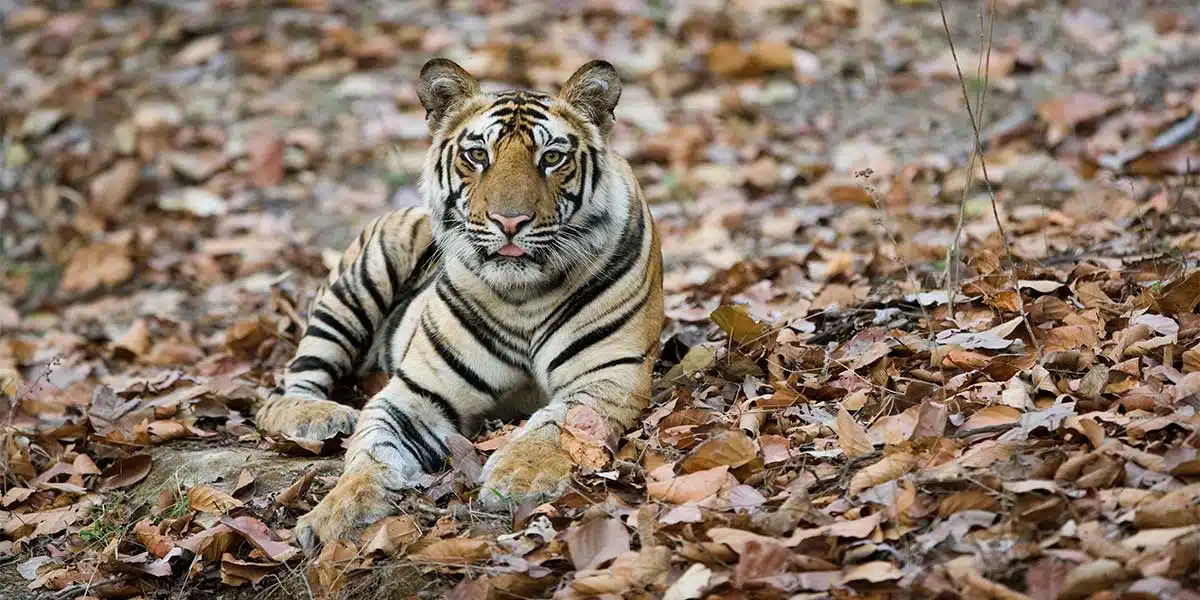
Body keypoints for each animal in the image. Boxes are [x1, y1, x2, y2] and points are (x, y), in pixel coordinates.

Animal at [254, 59, 664, 549]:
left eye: (551, 158)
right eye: (478, 155)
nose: (510, 221)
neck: (523, 296)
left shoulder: (609, 374)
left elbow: (558, 423)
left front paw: (520, 474)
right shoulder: (418, 393)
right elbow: (370, 453)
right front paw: (335, 514)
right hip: (361, 278)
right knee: (283, 390)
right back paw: (324, 416)